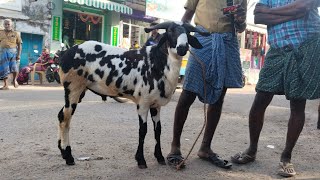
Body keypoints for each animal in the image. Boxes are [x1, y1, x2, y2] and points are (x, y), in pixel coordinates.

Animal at [57, 21, 210, 169]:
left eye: (188, 33)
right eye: (170, 31)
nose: (182, 47)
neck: (157, 63)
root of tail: (67, 52)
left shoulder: (156, 105)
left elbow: (158, 130)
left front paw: (159, 157)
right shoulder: (143, 103)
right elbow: (143, 130)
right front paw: (141, 160)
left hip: (80, 91)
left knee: (61, 115)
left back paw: (63, 152)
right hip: (73, 88)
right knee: (65, 119)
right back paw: (68, 156)